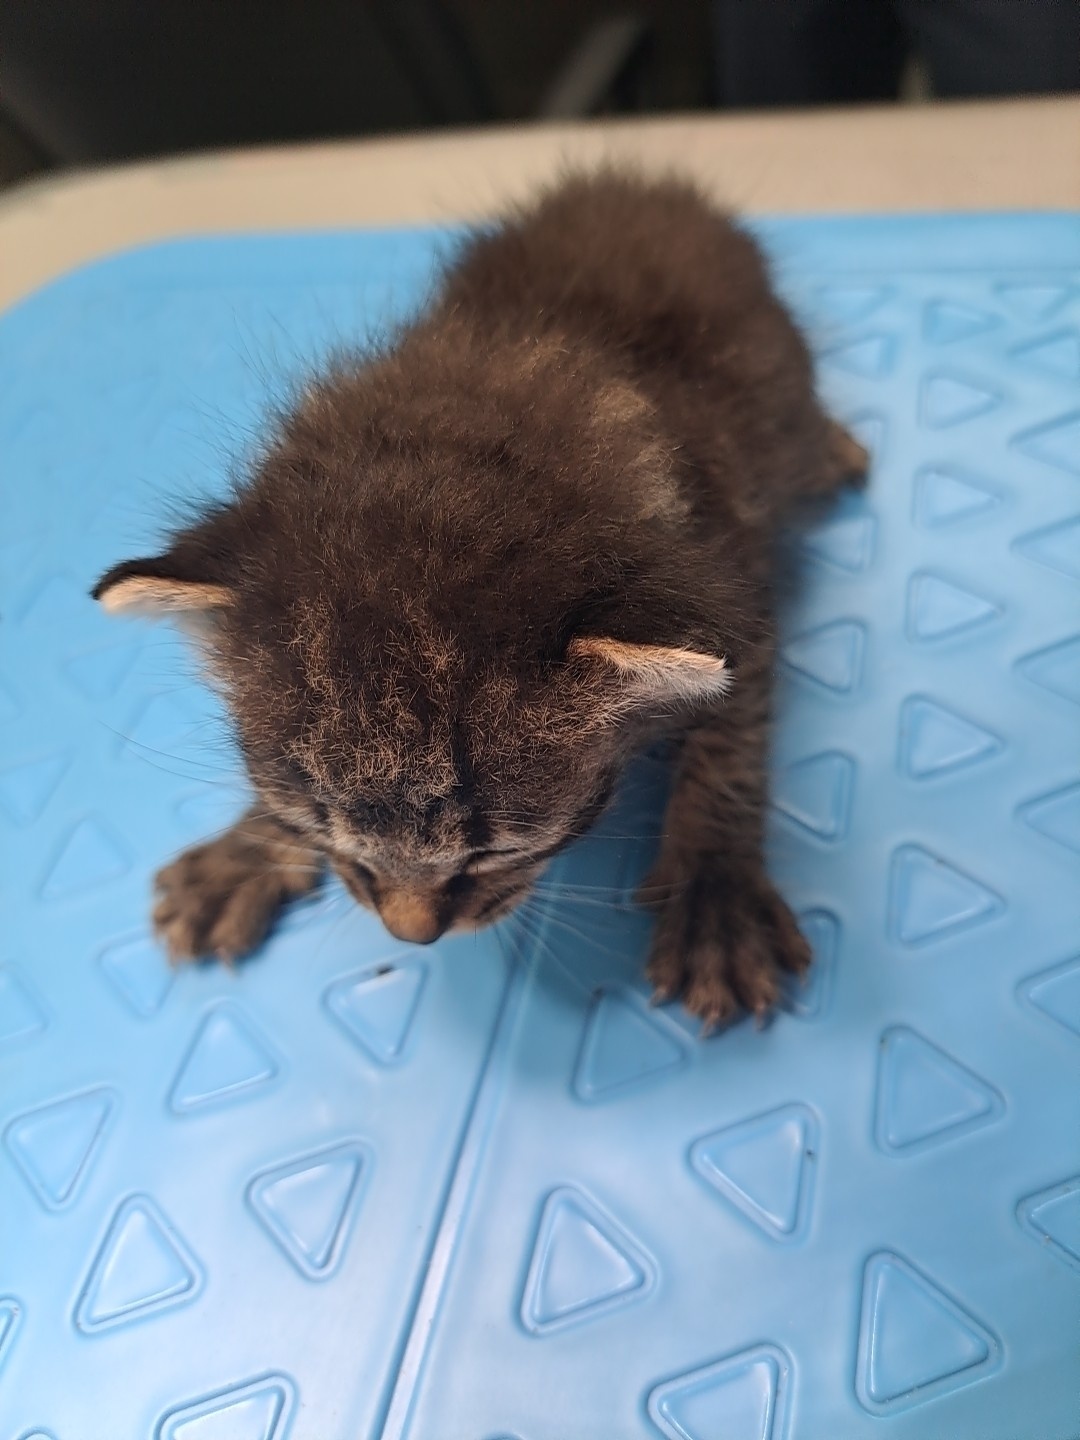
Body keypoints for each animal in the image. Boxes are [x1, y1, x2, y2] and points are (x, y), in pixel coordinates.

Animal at [95, 171, 869, 1025]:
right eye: (321, 824)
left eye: (497, 850)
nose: (409, 933)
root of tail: (647, 183)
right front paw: (246, 849)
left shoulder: (740, 594)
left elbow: (732, 749)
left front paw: (716, 898)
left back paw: (835, 448)